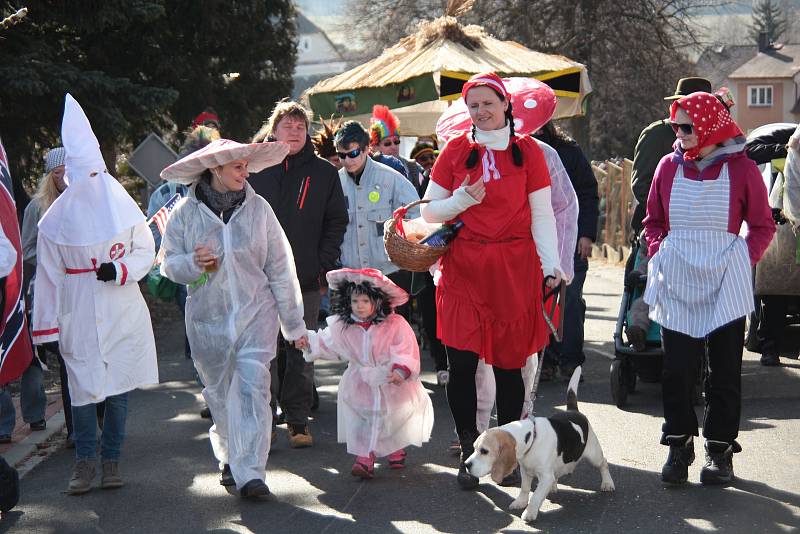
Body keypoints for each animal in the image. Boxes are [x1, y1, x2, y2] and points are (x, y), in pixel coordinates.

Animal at [462, 360, 612, 524]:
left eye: (484, 451)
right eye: (474, 448)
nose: (466, 465)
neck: (531, 440)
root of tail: (573, 411)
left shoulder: (545, 476)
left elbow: (535, 496)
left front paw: (530, 512)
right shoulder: (525, 471)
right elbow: (525, 489)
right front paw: (520, 502)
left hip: (593, 454)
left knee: (603, 463)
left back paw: (607, 483)